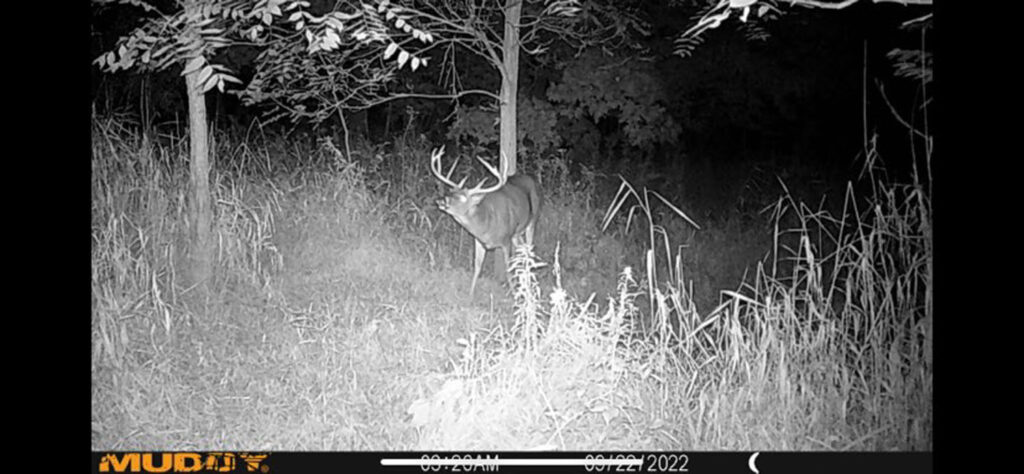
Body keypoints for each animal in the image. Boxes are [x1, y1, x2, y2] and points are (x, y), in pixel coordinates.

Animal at [430, 146, 542, 297]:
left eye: (462, 198)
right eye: (451, 192)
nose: (440, 200)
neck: (486, 225)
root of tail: (533, 180)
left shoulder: (506, 240)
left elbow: (508, 269)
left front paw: (514, 296)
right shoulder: (479, 241)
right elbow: (477, 267)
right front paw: (470, 295)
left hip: (532, 221)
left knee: (529, 250)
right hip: (517, 234)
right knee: (523, 250)